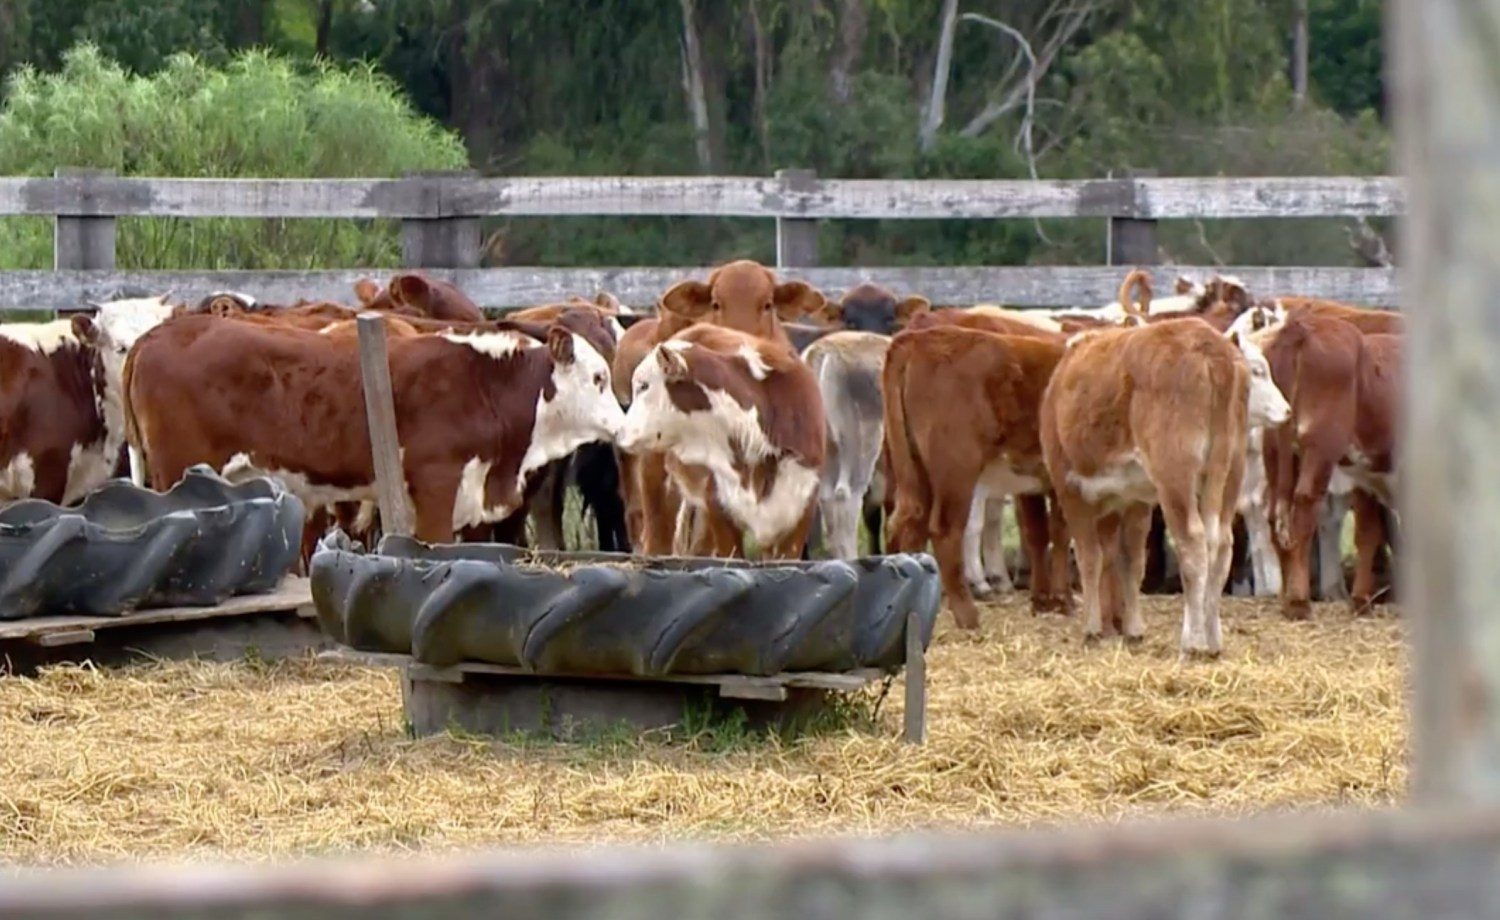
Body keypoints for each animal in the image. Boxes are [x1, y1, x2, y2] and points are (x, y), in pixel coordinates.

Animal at [121, 315, 627, 546]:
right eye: (598, 378)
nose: (624, 425)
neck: (484, 383)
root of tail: (158, 333)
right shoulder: (437, 489)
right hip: (178, 471)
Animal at [1044, 318, 1290, 654]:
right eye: (1257, 371)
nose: (1287, 410)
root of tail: (1210, 349)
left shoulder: (1070, 491)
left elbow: (1090, 559)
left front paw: (1093, 628)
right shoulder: (1133, 501)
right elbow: (1130, 562)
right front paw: (1131, 628)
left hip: (1175, 477)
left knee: (1193, 543)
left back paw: (1193, 641)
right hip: (1229, 472)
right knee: (1220, 545)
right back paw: (1212, 638)